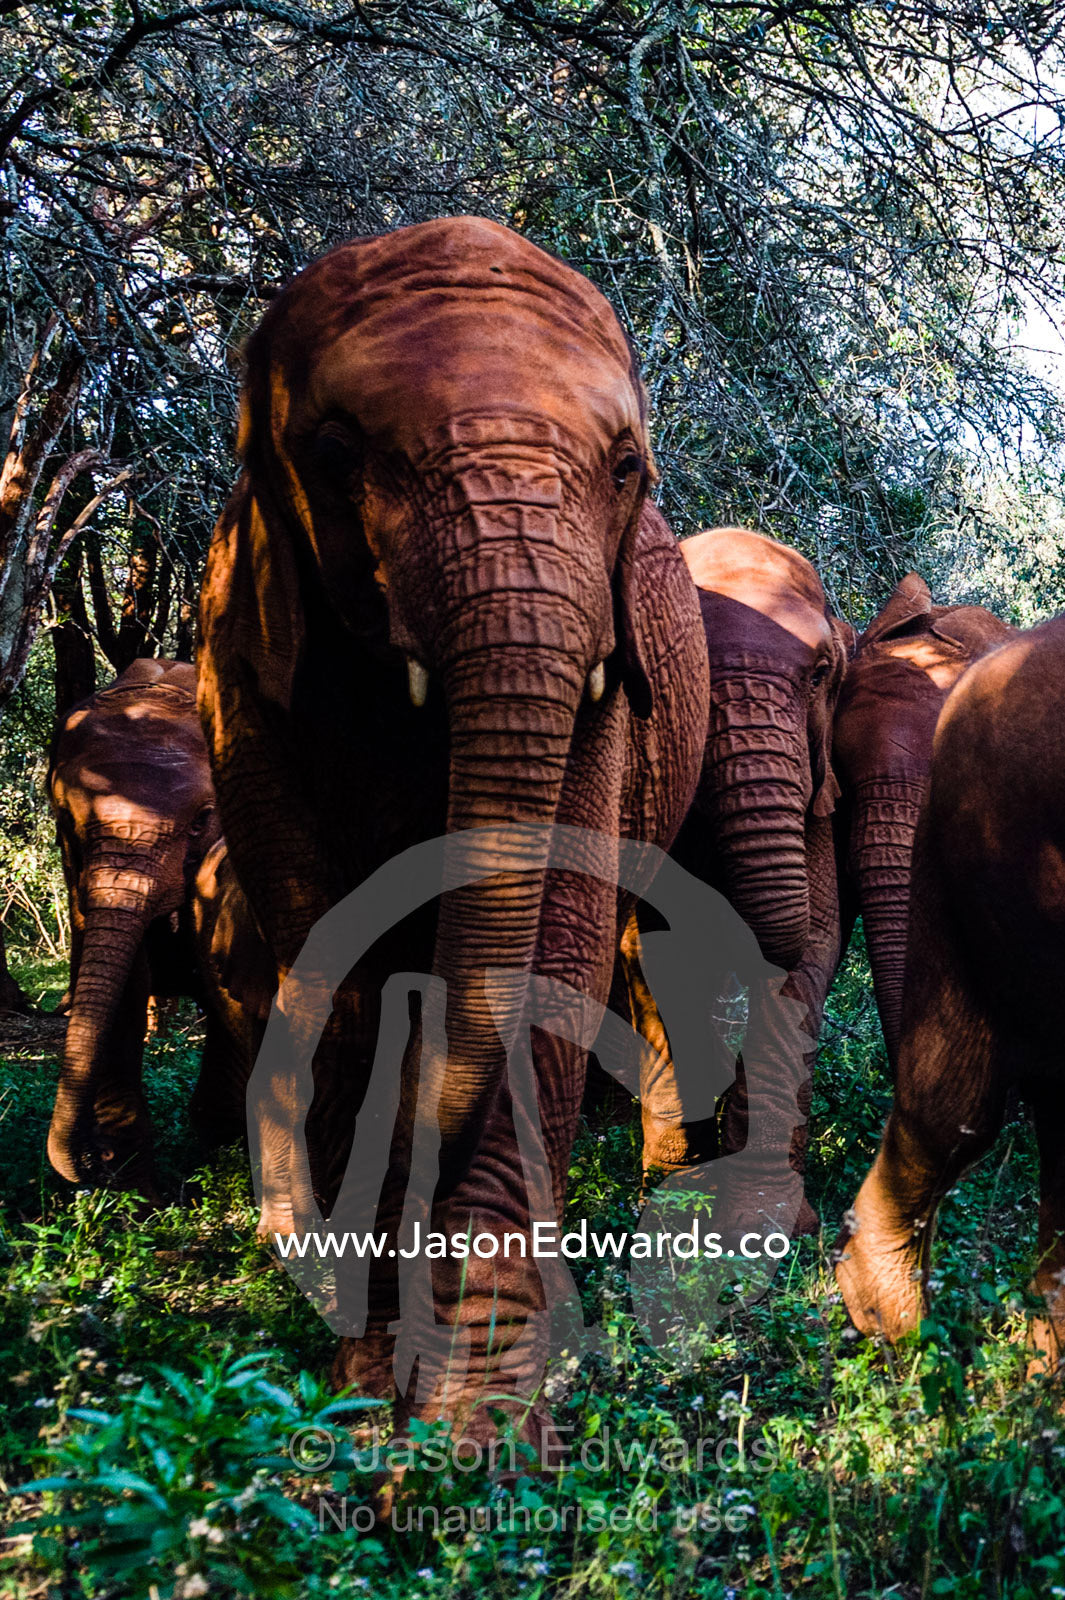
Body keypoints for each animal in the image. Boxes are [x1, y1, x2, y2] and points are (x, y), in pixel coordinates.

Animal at [195, 215, 711, 1450]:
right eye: (336, 454)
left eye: (625, 470)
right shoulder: (245, 661)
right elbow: (339, 957)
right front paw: (369, 1375)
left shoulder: (603, 670)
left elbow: (558, 950)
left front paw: (475, 1423)